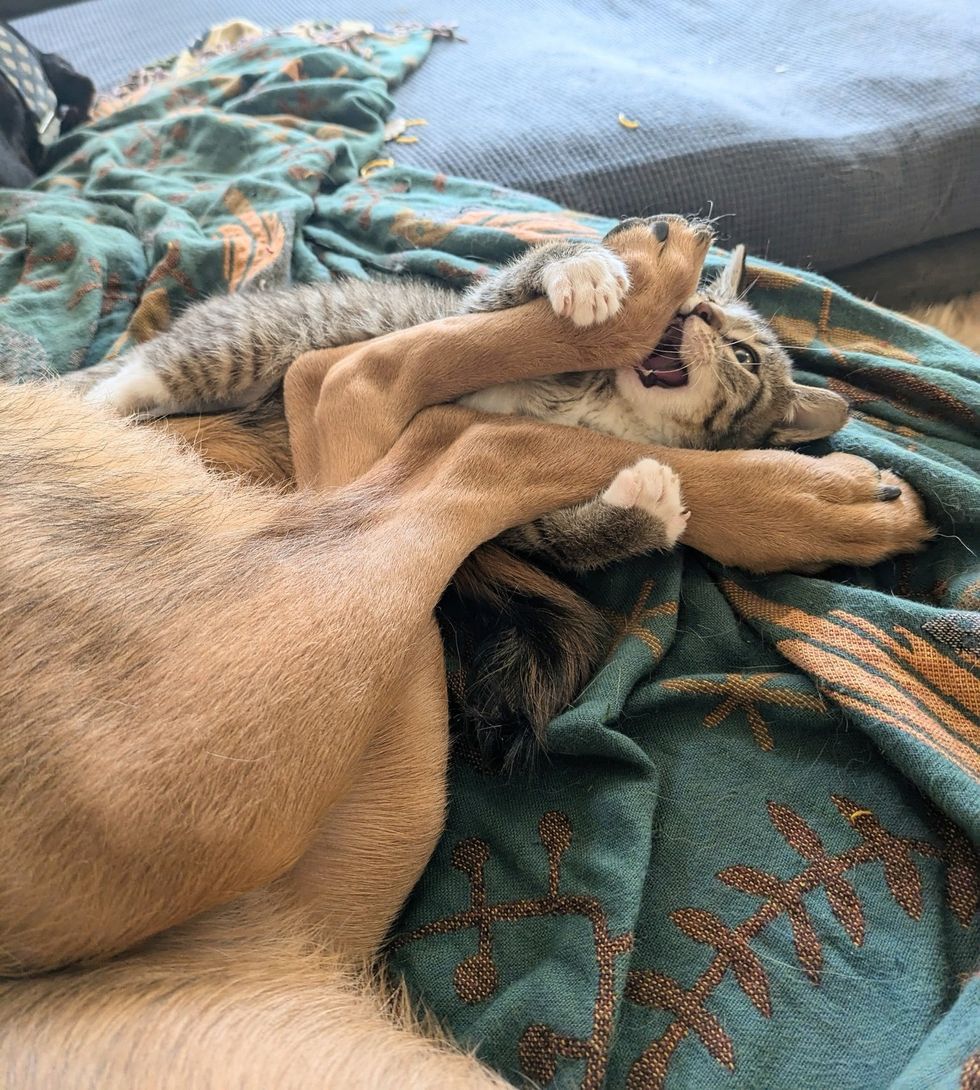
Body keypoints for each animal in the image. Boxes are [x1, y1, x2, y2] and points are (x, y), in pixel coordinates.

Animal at [0, 216, 928, 1085]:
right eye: (716, 316)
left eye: (740, 350)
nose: (694, 310)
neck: (601, 404)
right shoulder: (486, 326)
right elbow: (507, 304)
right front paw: (589, 275)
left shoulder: (533, 518)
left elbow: (579, 495)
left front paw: (649, 507)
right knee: (261, 379)